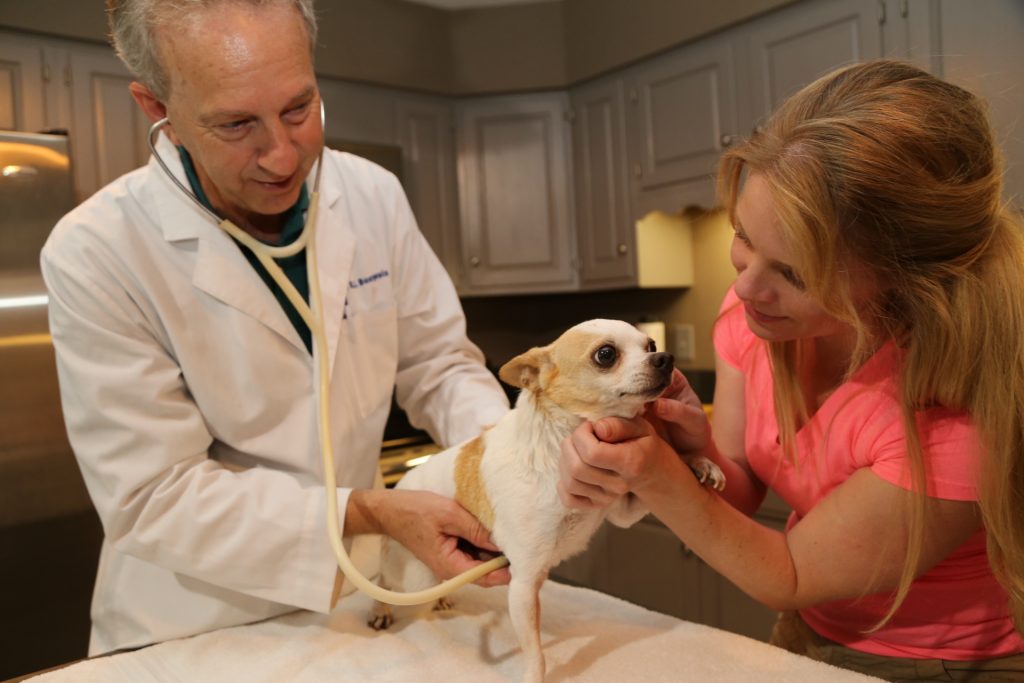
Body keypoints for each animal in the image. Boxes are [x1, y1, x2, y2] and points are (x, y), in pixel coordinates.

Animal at [368, 321, 729, 683]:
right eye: (606, 354)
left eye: (650, 344)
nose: (666, 358)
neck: (560, 447)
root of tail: (402, 483)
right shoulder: (524, 584)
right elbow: (535, 653)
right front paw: (534, 676)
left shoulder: (622, 509)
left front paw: (697, 462)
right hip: (415, 576)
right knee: (382, 580)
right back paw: (380, 609)